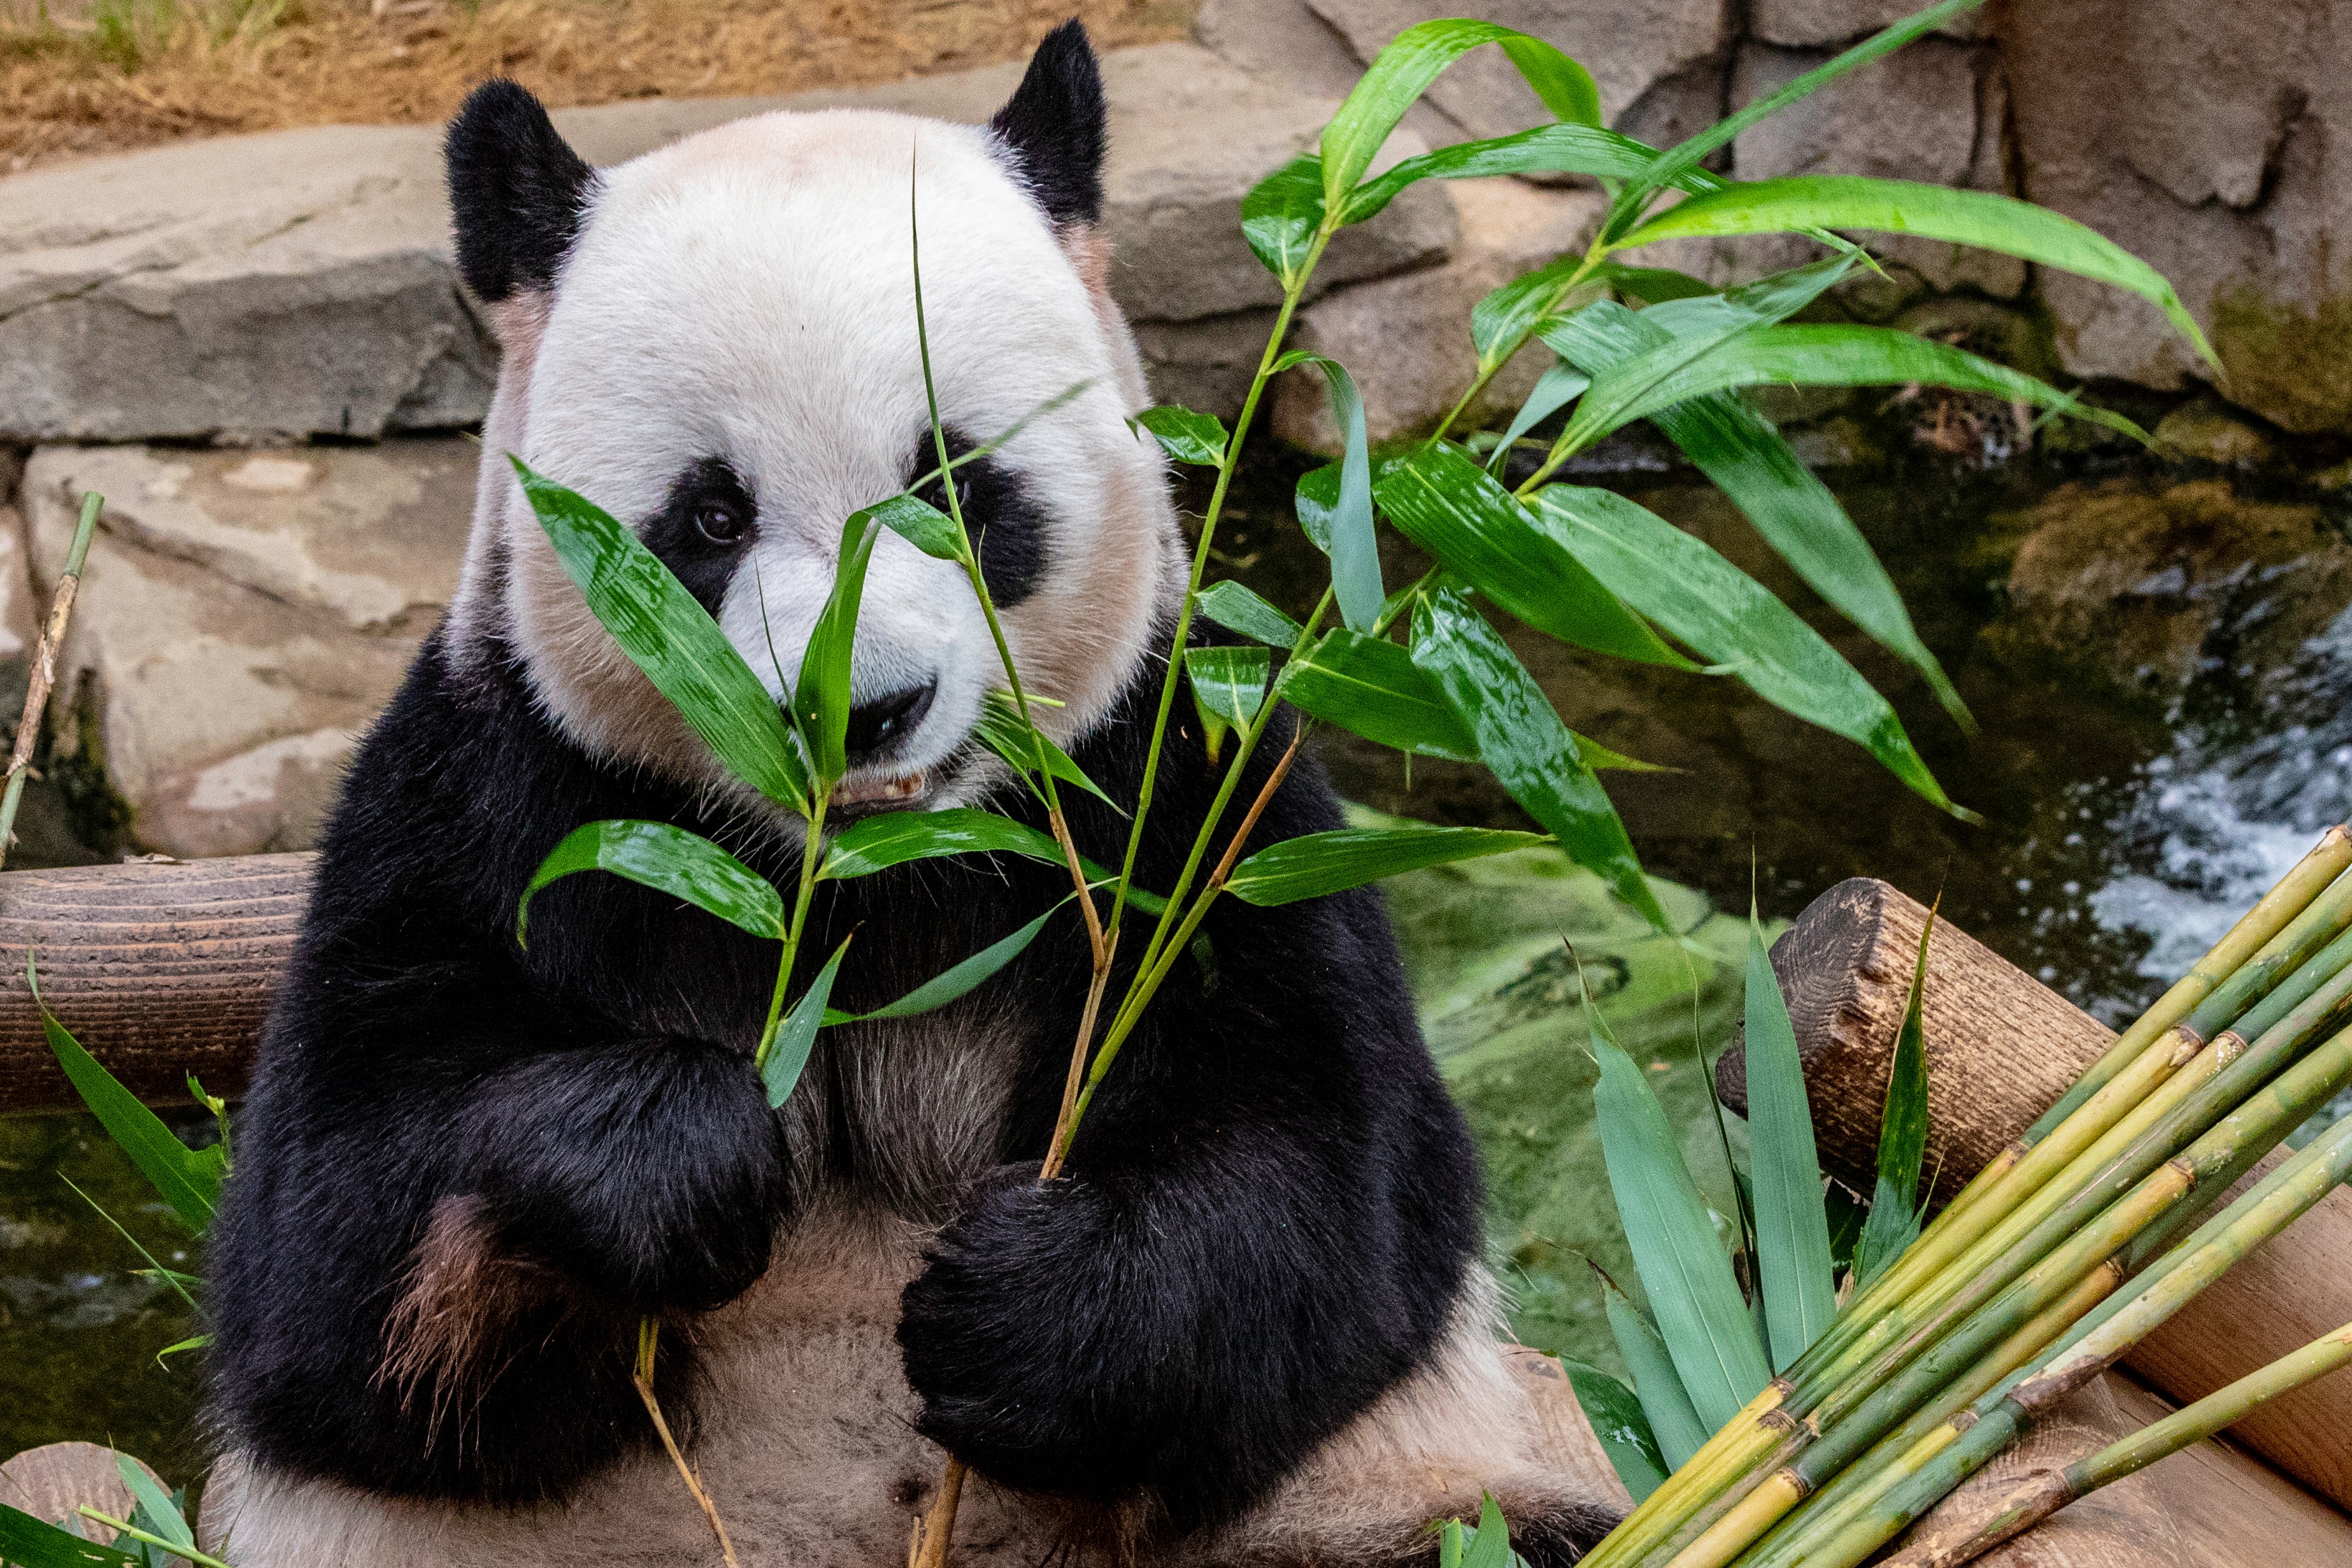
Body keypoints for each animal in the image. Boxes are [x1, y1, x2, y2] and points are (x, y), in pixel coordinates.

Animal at [202, 24, 1627, 1568]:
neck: (864, 878)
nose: (860, 708)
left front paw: (1022, 1306)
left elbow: (1330, 1181)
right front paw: (673, 1156)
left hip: (1367, 1504)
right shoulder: (498, 791)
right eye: (710, 516)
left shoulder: (1181, 791)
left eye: (950, 481)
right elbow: (331, 1256)